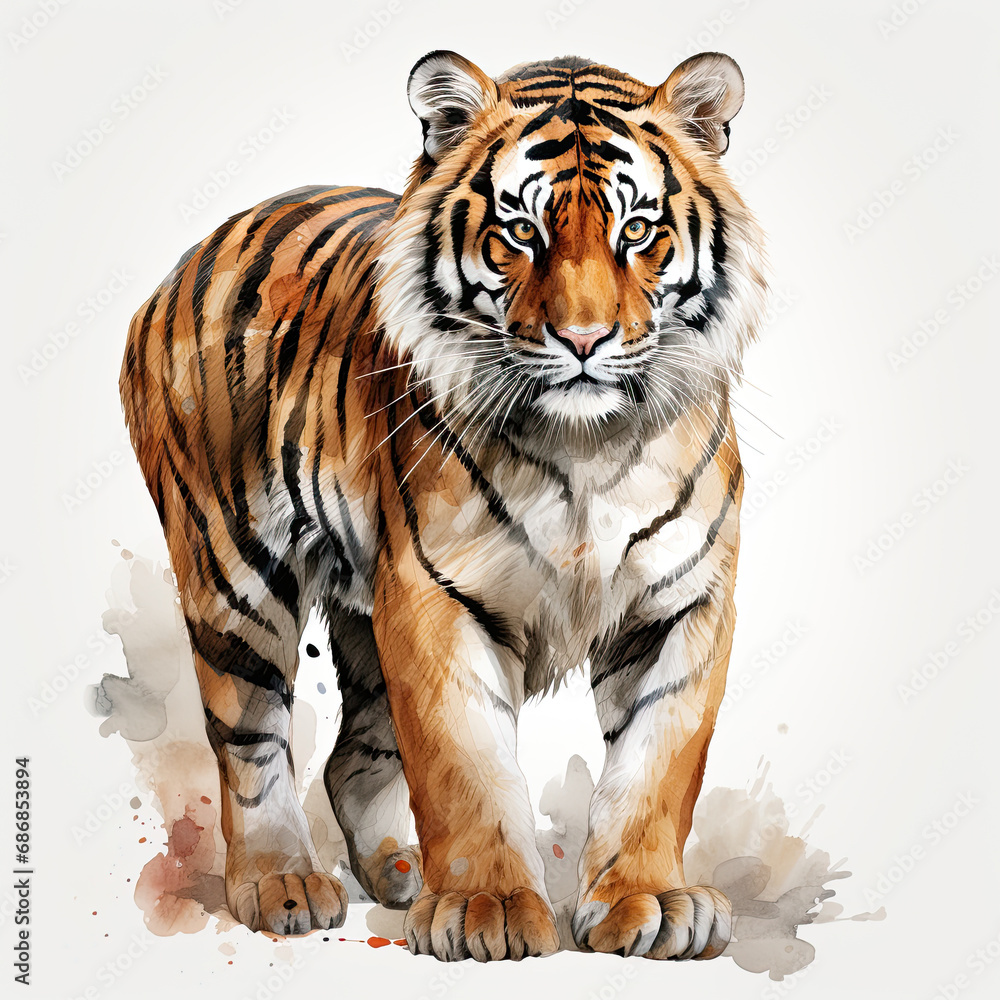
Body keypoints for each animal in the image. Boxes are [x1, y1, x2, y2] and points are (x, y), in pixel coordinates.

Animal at [120, 49, 768, 961]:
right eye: (522, 232)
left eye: (637, 231)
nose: (583, 339)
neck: (586, 448)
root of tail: (196, 252)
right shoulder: (436, 595)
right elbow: (464, 762)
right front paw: (484, 908)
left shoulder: (683, 602)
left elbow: (658, 764)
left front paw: (649, 903)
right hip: (232, 577)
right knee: (250, 740)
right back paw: (284, 885)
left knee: (351, 758)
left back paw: (397, 874)